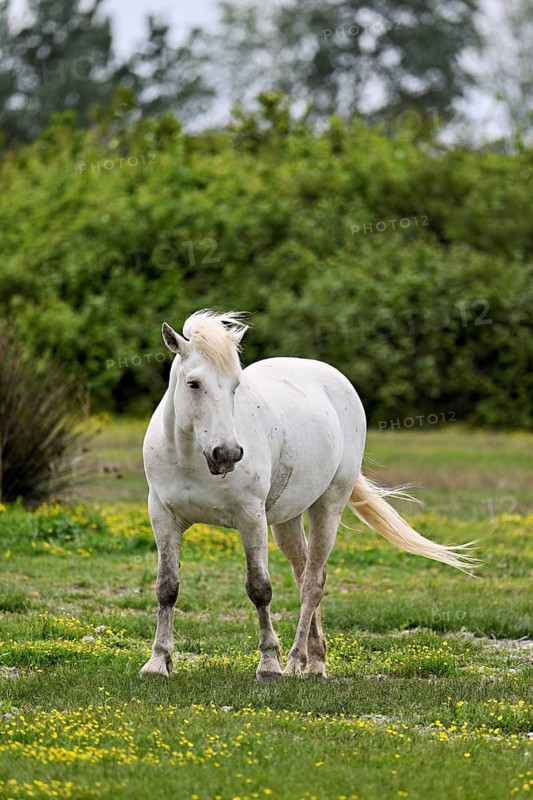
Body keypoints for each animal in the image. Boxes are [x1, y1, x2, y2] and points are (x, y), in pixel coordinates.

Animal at [140, 310, 476, 681]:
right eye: (193, 384)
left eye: (235, 386)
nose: (227, 454)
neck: (190, 457)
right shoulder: (163, 517)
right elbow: (167, 587)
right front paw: (158, 661)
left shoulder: (250, 518)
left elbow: (259, 588)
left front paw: (268, 665)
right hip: (286, 520)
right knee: (303, 576)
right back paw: (314, 660)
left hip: (328, 505)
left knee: (313, 582)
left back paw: (297, 661)